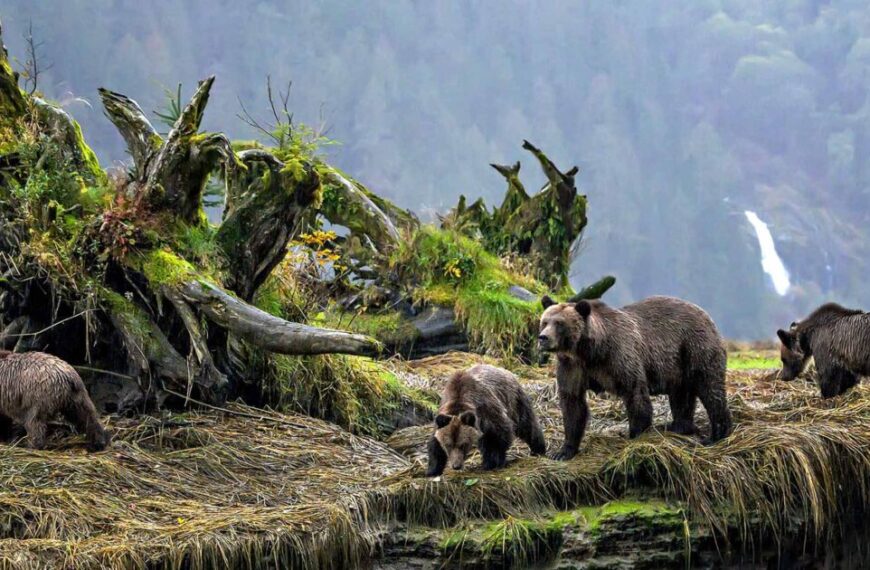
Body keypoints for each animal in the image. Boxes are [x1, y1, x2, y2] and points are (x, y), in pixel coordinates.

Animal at [538, 295, 732, 460]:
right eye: (544, 321)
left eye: (559, 323)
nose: (543, 338)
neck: (590, 351)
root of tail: (705, 314)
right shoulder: (572, 367)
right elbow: (572, 404)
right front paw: (563, 452)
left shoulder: (620, 356)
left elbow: (635, 394)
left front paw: (636, 436)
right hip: (678, 367)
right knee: (681, 397)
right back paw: (679, 427)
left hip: (695, 348)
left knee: (710, 389)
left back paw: (716, 434)